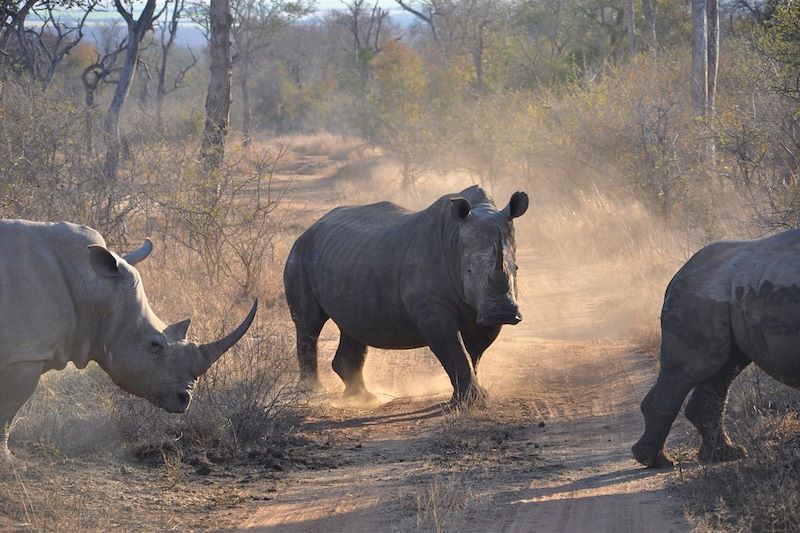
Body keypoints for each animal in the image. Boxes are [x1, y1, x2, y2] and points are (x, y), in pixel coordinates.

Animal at [0, 218, 256, 464]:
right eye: (155, 345)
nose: (186, 399)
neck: (93, 287)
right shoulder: (25, 356)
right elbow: (7, 412)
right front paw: (10, 462)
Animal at [284, 186, 528, 404]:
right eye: (468, 271)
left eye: (515, 268)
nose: (501, 313)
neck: (455, 241)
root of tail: (310, 228)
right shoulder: (432, 310)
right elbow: (455, 351)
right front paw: (472, 402)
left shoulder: (481, 309)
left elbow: (474, 354)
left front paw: (472, 397)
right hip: (301, 254)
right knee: (309, 323)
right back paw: (314, 395)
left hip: (349, 258)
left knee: (352, 325)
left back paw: (362, 399)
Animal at [636, 229, 800, 466]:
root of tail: (678, 273)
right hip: (698, 295)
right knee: (691, 370)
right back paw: (654, 461)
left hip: (731, 292)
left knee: (725, 368)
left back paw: (724, 456)